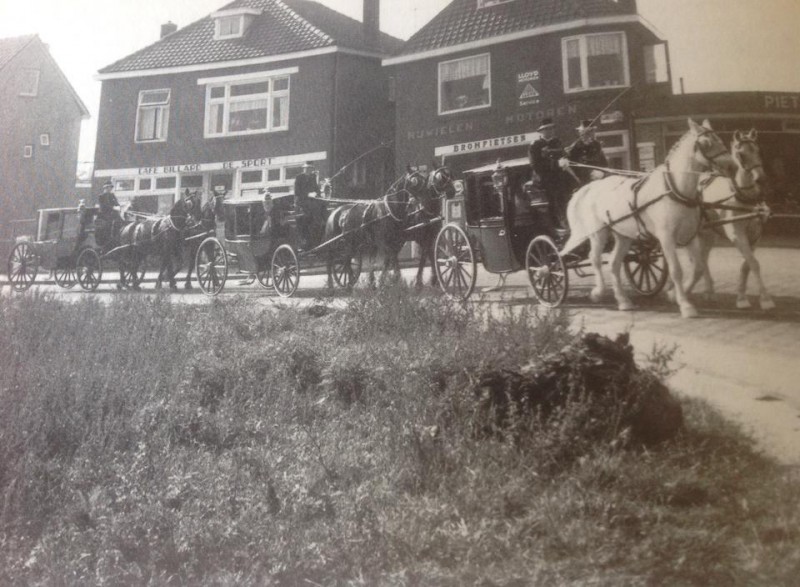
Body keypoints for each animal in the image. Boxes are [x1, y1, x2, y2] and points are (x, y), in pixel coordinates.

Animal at [556, 119, 736, 320]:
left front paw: (673, 295)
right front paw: (686, 306)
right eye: (706, 143)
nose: (733, 167)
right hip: (598, 233)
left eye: (720, 138)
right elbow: (676, 270)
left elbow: (697, 267)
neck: (673, 189)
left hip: (623, 235)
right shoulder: (666, 237)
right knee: (594, 259)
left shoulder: (688, 235)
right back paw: (597, 292)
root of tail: (589, 187)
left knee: (614, 264)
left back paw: (623, 301)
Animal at [680, 130, 776, 310]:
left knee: (703, 258)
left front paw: (741, 298)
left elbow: (746, 266)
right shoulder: (737, 235)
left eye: (758, 151)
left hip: (709, 234)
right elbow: (754, 263)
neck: (743, 198)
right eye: (740, 154)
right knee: (698, 259)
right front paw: (766, 300)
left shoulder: (755, 237)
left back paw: (709, 292)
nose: (761, 179)